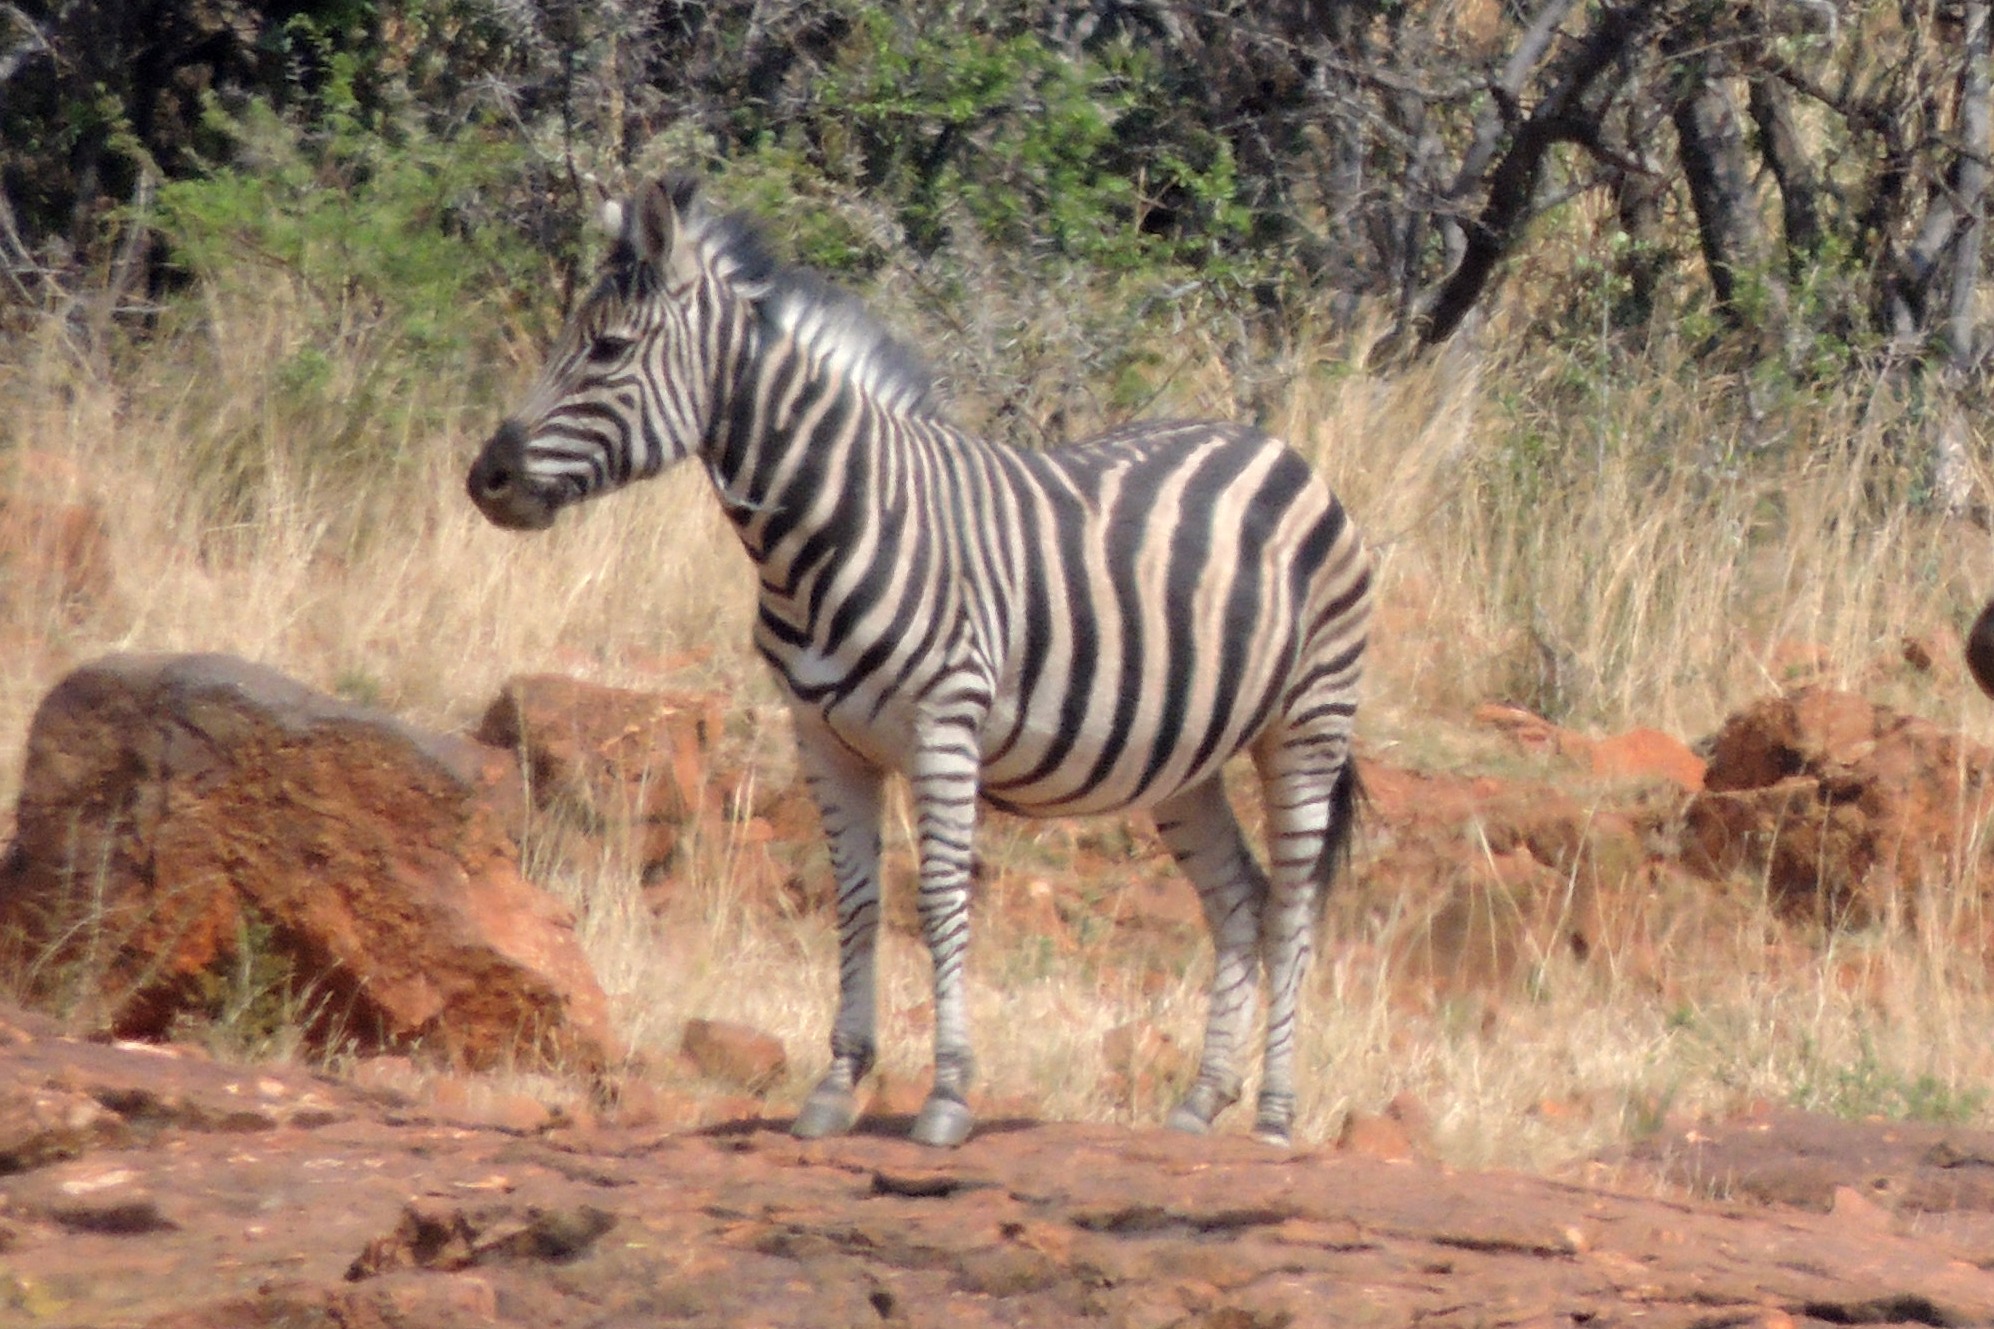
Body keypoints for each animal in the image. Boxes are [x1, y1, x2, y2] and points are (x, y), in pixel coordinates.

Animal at [467, 174, 1373, 1149]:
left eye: (607, 349)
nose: (485, 479)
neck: (831, 524)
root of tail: (1273, 445)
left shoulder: (946, 722)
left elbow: (938, 898)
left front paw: (947, 1096)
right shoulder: (822, 737)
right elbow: (858, 903)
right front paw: (836, 1084)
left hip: (1309, 722)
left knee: (1293, 904)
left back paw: (1275, 1116)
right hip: (1182, 756)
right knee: (1239, 894)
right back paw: (1202, 1101)